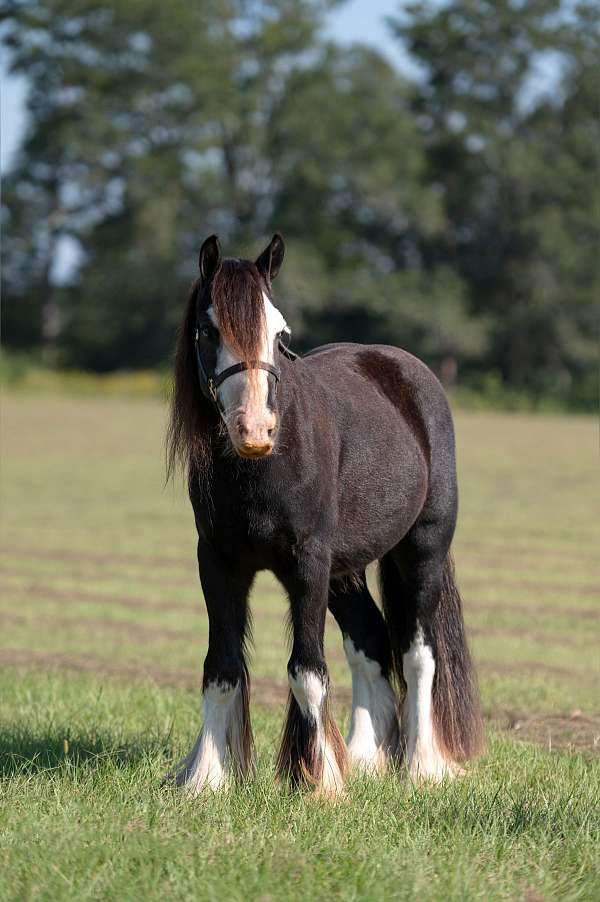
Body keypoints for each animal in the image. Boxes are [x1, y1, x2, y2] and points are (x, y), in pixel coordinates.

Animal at [166, 235, 486, 800]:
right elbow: (221, 669)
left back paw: (421, 766)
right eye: (208, 330)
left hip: (421, 552)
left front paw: (319, 781)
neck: (262, 469)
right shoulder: (218, 563)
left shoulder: (308, 564)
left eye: (281, 333)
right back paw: (364, 757)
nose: (255, 430)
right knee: (371, 643)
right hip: (346, 571)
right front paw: (206, 778)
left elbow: (307, 671)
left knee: (418, 653)